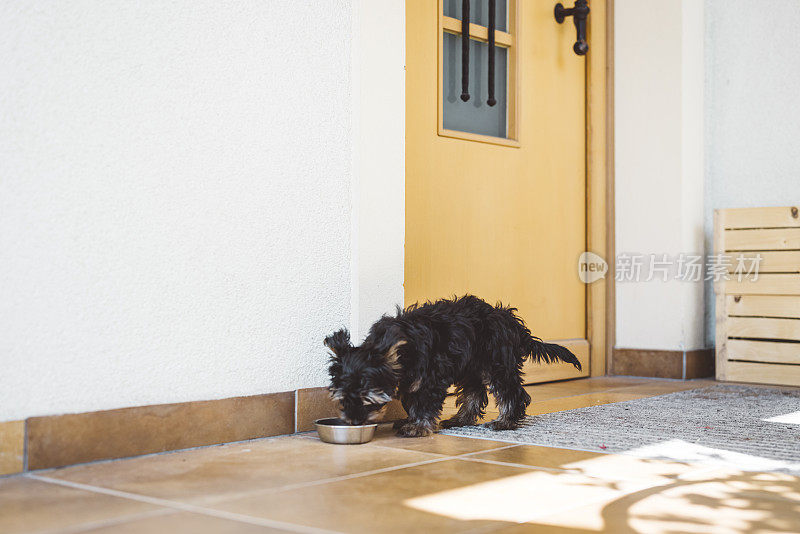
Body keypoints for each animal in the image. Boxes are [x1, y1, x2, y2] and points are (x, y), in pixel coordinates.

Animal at [324, 296, 580, 438]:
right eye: (343, 399)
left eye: (367, 400)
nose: (353, 422)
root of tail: (510, 320)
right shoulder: (412, 380)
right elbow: (411, 401)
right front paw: (410, 421)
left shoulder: (430, 378)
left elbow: (424, 403)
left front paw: (419, 427)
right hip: (471, 366)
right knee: (475, 392)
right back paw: (461, 419)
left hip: (497, 362)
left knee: (512, 392)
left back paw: (505, 421)